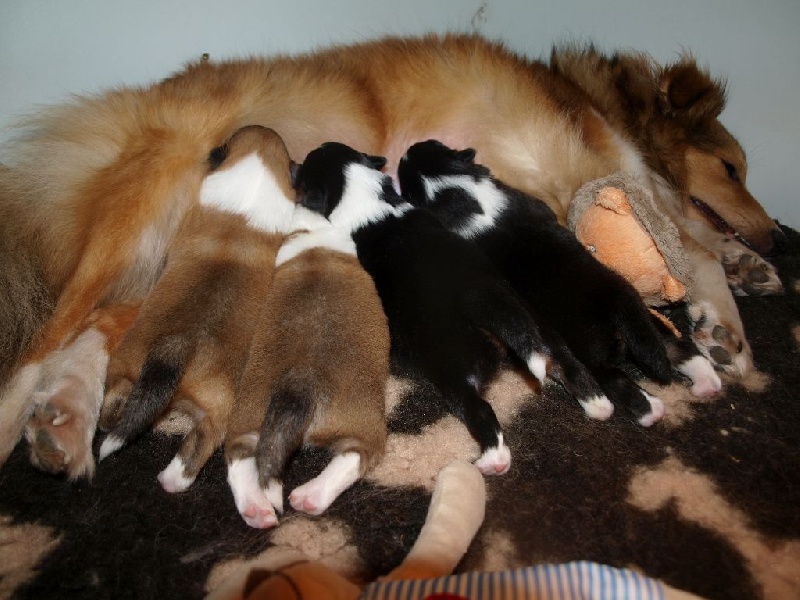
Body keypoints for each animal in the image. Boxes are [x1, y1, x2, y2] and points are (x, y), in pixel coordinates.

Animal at [228, 199, 390, 528]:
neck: (313, 241)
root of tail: (301, 382)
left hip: (248, 418)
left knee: (239, 458)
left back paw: (256, 509)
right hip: (363, 424)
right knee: (354, 456)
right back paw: (311, 496)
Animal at [294, 143, 612, 476]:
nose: (295, 166)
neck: (364, 194)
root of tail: (488, 305)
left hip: (454, 369)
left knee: (481, 412)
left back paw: (492, 460)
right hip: (539, 326)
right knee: (566, 363)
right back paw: (598, 406)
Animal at [396, 140, 680, 424]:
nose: (406, 151)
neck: (460, 193)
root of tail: (612, 308)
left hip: (588, 344)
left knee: (610, 377)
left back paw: (634, 410)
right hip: (627, 298)